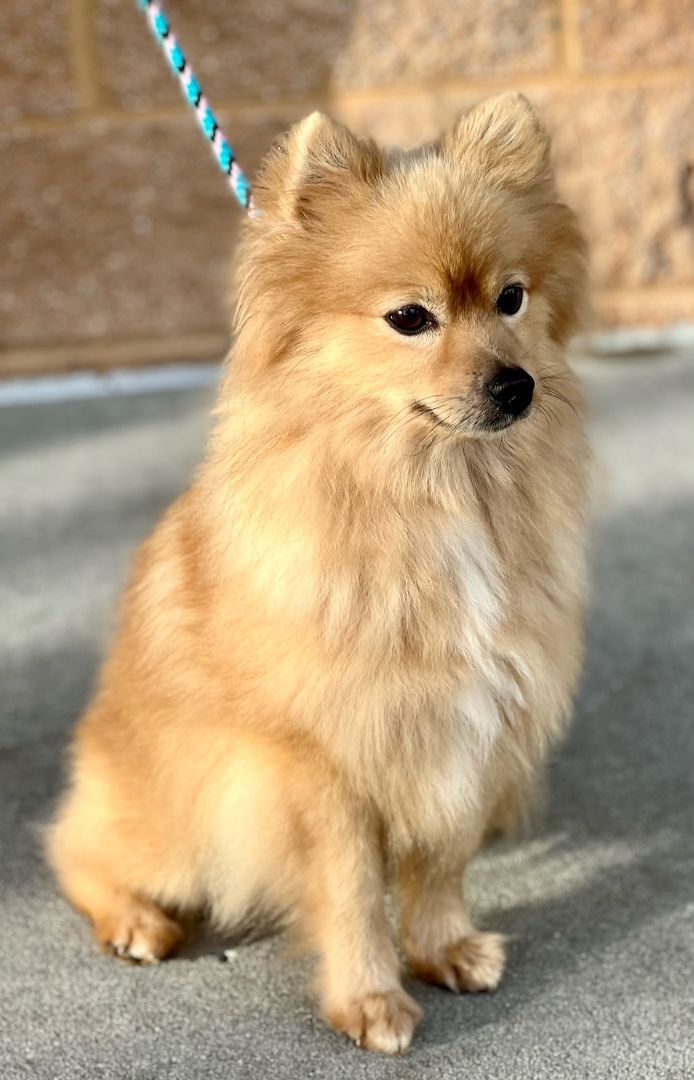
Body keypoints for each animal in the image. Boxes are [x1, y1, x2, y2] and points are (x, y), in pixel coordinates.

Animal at [48, 95, 587, 1054]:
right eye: (410, 318)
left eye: (512, 298)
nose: (515, 384)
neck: (434, 492)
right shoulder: (324, 765)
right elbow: (351, 894)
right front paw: (369, 999)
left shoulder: (458, 725)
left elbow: (439, 861)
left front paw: (443, 949)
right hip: (170, 823)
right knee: (75, 851)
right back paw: (135, 921)